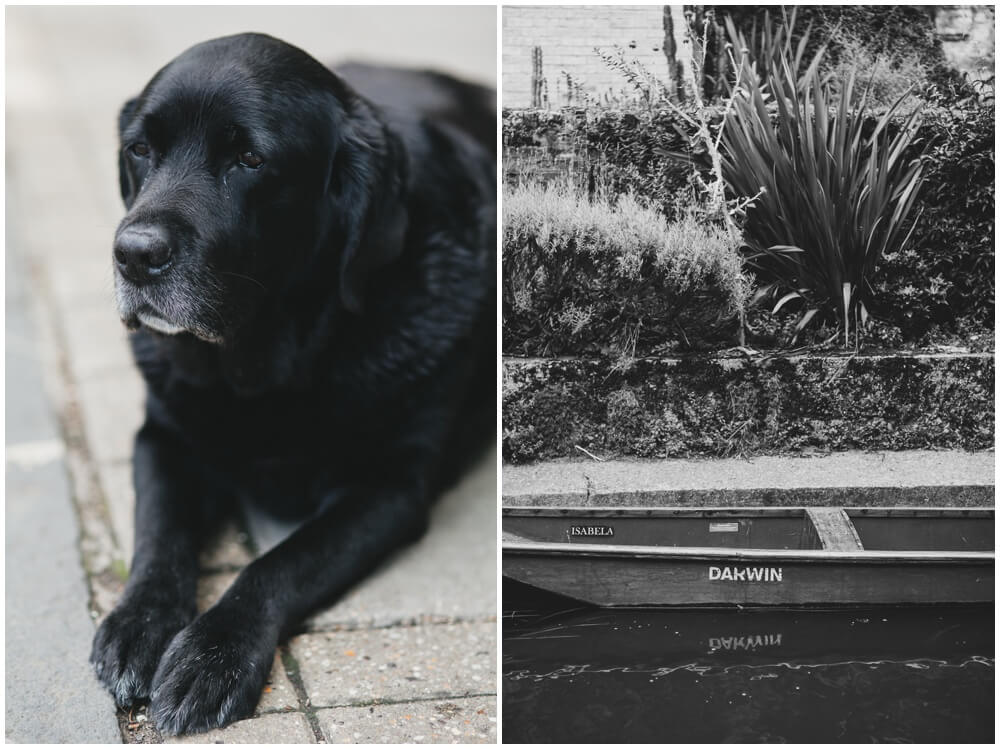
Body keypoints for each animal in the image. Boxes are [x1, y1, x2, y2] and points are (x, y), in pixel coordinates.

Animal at [92, 33, 498, 732]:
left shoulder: (388, 487)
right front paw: (138, 622)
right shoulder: (164, 438)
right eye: (140, 149)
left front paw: (212, 654)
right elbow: (159, 533)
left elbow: (282, 562)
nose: (135, 255)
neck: (265, 365)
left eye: (250, 159)